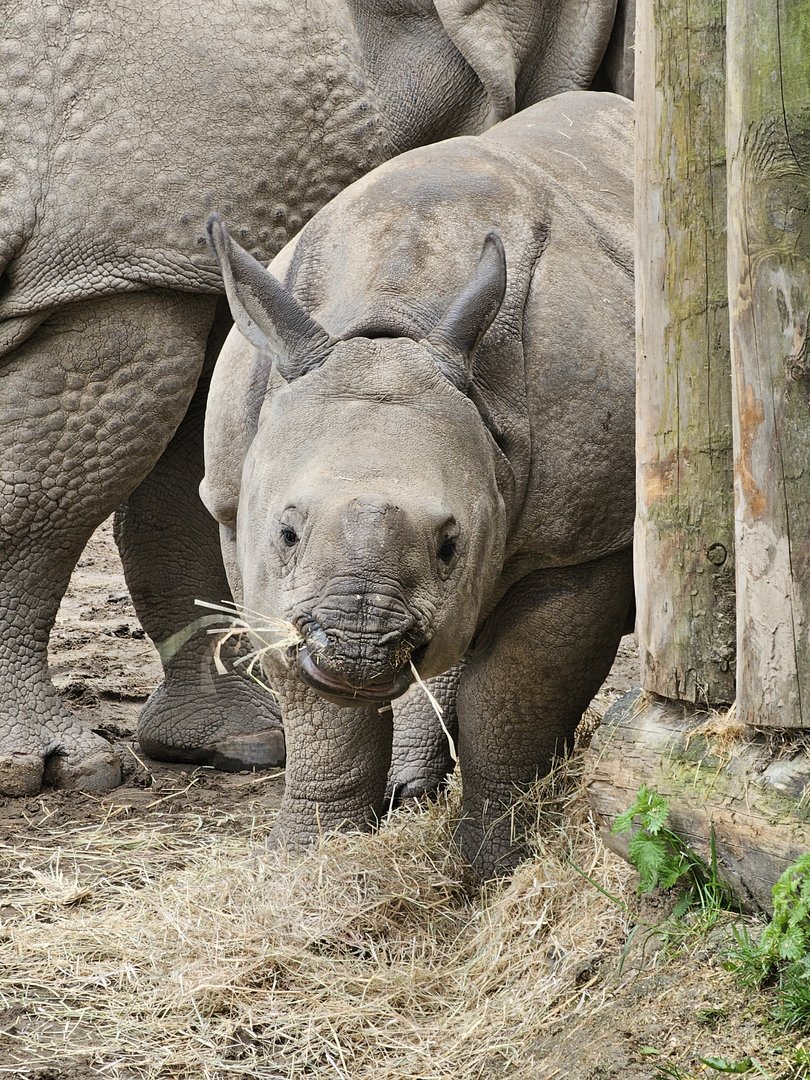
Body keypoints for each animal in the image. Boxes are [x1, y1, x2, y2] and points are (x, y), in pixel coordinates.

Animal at [203, 90, 635, 876]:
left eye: (449, 545)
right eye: (287, 532)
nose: (359, 644)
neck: (393, 324)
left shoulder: (583, 537)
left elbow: (515, 696)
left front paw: (494, 868)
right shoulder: (233, 508)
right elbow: (315, 709)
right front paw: (312, 861)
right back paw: (410, 791)